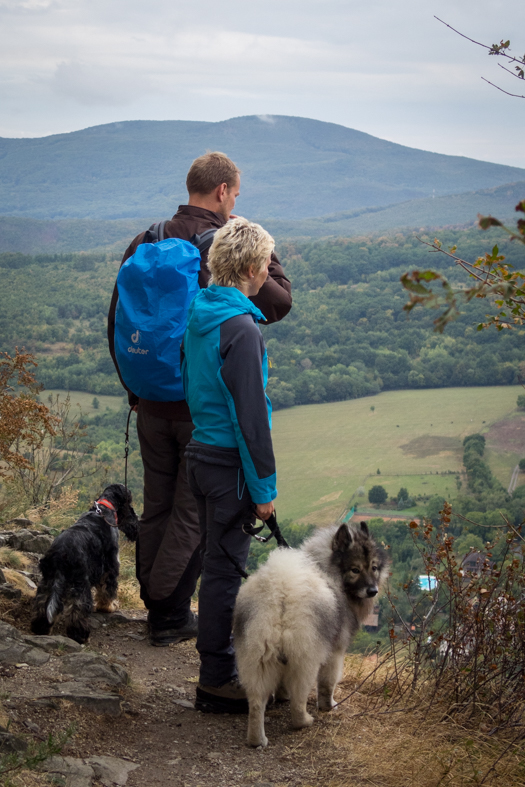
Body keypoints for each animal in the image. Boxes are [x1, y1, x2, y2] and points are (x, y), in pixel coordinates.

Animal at [233, 520, 388, 748]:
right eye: (355, 569)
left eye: (374, 568)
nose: (372, 591)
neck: (328, 570)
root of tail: (280, 595)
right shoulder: (335, 652)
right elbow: (327, 684)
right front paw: (328, 706)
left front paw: (282, 696)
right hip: (305, 659)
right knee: (298, 702)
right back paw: (305, 721)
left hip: (257, 656)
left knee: (256, 703)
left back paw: (257, 739)